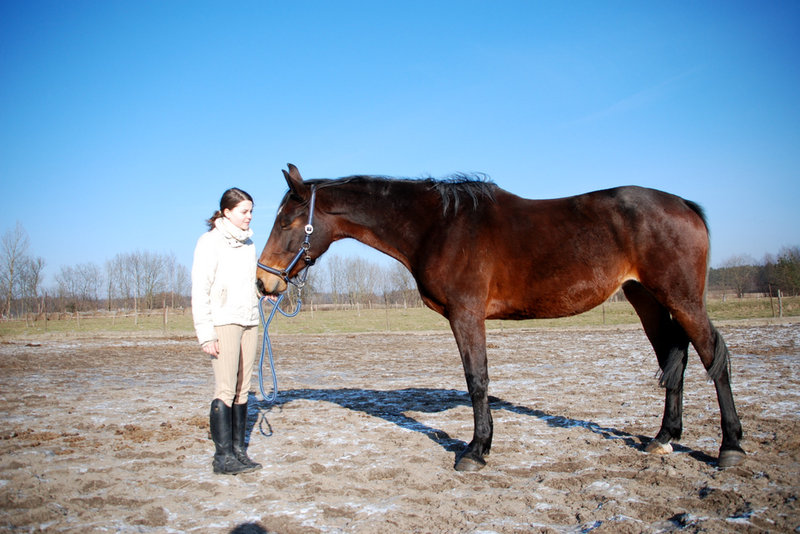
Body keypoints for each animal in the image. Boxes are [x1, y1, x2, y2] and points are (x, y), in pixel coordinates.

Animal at [256, 164, 745, 472]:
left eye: (286, 221)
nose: (264, 282)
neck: (439, 225)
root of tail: (685, 205)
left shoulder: (467, 315)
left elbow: (477, 380)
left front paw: (475, 451)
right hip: (647, 298)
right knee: (674, 358)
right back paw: (664, 439)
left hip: (682, 299)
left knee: (714, 357)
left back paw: (730, 447)